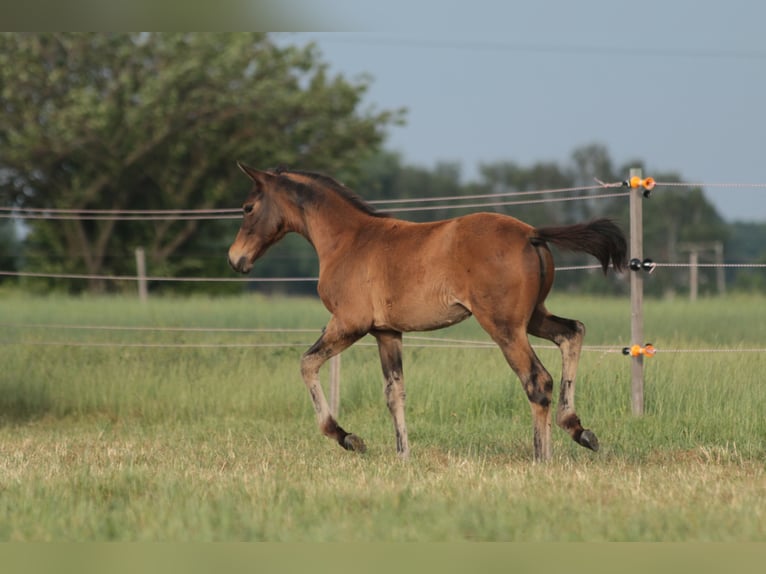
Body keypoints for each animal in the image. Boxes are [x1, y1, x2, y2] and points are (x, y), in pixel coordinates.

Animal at [230, 163, 632, 464]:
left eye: (248, 208)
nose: (236, 259)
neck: (348, 241)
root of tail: (531, 233)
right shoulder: (386, 332)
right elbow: (395, 392)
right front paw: (403, 455)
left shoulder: (349, 323)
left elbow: (307, 364)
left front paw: (348, 438)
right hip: (532, 317)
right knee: (572, 332)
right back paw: (579, 429)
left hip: (504, 326)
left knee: (537, 379)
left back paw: (542, 456)